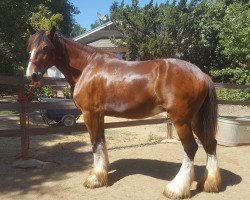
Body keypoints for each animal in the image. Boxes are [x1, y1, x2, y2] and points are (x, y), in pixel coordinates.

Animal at [25, 26, 221, 198]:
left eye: (45, 47)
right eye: (29, 47)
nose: (31, 75)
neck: (87, 67)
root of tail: (202, 75)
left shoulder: (90, 114)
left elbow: (95, 143)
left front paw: (95, 179)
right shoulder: (99, 115)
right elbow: (102, 142)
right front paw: (103, 172)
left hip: (181, 120)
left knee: (191, 147)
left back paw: (176, 189)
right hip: (195, 119)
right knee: (210, 144)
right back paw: (209, 183)